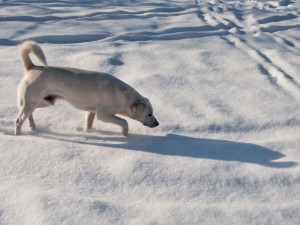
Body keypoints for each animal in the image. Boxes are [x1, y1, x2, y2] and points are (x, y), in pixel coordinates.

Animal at [15, 40, 159, 135]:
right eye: (149, 114)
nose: (157, 123)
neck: (123, 97)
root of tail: (32, 67)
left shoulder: (91, 112)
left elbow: (88, 124)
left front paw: (88, 133)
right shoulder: (103, 114)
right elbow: (124, 122)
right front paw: (125, 133)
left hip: (44, 102)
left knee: (28, 114)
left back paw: (32, 126)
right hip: (31, 102)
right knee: (18, 121)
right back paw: (19, 135)